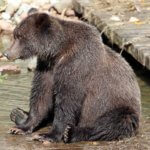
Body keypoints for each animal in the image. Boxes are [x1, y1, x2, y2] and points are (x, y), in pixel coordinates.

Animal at [4, 12, 141, 143]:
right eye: (15, 34)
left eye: (19, 36)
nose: (6, 53)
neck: (58, 52)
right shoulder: (47, 67)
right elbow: (41, 95)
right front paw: (21, 127)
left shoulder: (76, 65)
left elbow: (67, 100)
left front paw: (48, 135)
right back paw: (18, 114)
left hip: (120, 107)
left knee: (111, 124)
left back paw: (71, 133)